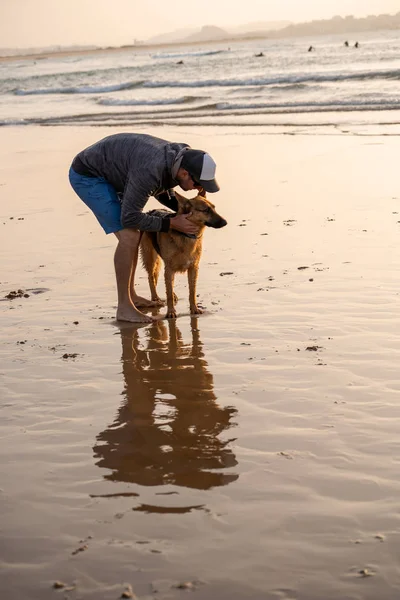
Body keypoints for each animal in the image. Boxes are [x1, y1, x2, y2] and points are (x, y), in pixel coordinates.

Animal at [140, 190, 228, 318]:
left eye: (214, 207)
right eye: (206, 210)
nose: (225, 222)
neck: (187, 235)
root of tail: (150, 211)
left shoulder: (193, 268)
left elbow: (192, 291)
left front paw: (194, 309)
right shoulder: (169, 268)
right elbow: (169, 293)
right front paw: (171, 311)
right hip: (151, 259)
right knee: (151, 278)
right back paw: (155, 298)